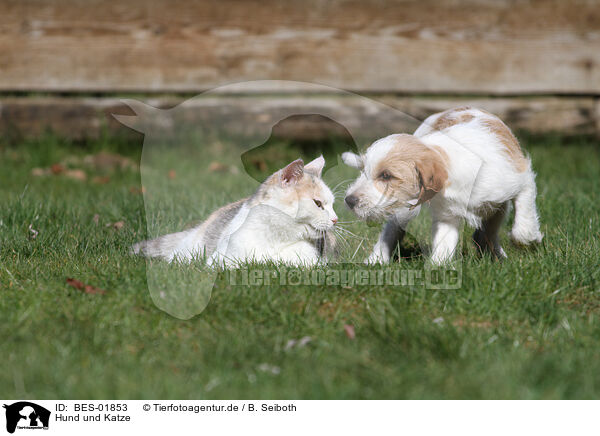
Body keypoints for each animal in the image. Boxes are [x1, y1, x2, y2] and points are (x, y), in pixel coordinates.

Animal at [342, 107, 544, 264]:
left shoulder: (522, 180)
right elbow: (443, 244)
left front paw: (529, 240)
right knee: (391, 229)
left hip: (499, 208)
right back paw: (376, 259)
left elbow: (523, 226)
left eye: (386, 175)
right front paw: (438, 268)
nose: (349, 200)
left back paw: (498, 256)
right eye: (363, 170)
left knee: (488, 232)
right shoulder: (447, 216)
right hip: (404, 209)